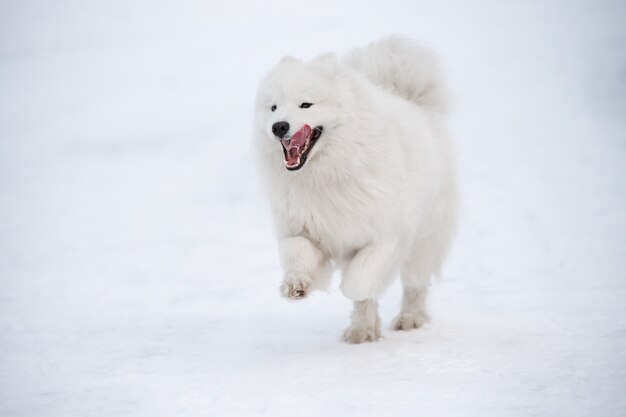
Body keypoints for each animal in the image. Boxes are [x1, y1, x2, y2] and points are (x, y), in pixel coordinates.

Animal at [255, 36, 458, 342]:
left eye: (306, 105)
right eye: (273, 108)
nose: (279, 126)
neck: (325, 176)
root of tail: (413, 102)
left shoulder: (387, 236)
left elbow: (358, 281)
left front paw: (353, 290)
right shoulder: (302, 229)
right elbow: (296, 253)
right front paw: (296, 284)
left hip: (426, 239)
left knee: (415, 284)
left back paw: (408, 319)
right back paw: (362, 331)